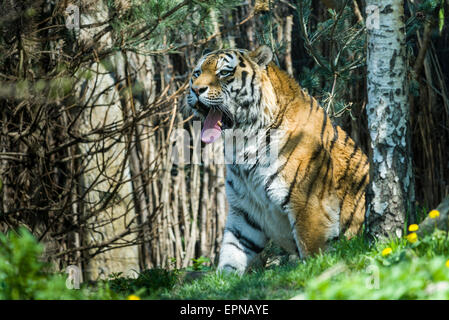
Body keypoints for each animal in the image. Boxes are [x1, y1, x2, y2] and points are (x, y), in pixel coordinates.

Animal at [185, 45, 368, 276]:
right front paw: (225, 278)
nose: (195, 90)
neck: (242, 143)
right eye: (196, 73)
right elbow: (231, 251)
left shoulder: (309, 203)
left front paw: (319, 273)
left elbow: (313, 249)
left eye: (224, 72)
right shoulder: (244, 210)